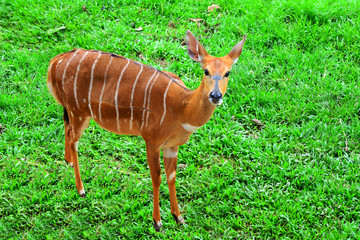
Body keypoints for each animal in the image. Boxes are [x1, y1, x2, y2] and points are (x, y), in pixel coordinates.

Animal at [47, 30, 245, 231]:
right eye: (206, 71)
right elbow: (156, 177)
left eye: (227, 73)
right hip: (79, 111)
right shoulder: (152, 140)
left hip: (72, 110)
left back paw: (68, 162)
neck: (182, 107)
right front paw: (157, 222)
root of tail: (57, 60)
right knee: (74, 139)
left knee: (66, 127)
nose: (216, 96)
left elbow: (171, 176)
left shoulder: (172, 146)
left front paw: (178, 217)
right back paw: (81, 189)